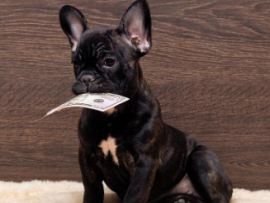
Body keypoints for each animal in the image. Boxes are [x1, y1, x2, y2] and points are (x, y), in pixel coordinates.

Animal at [58, 0, 232, 202]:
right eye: (76, 64)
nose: (86, 78)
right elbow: (92, 190)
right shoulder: (87, 158)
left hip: (201, 159)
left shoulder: (144, 162)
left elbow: (135, 194)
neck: (112, 114)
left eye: (109, 62)